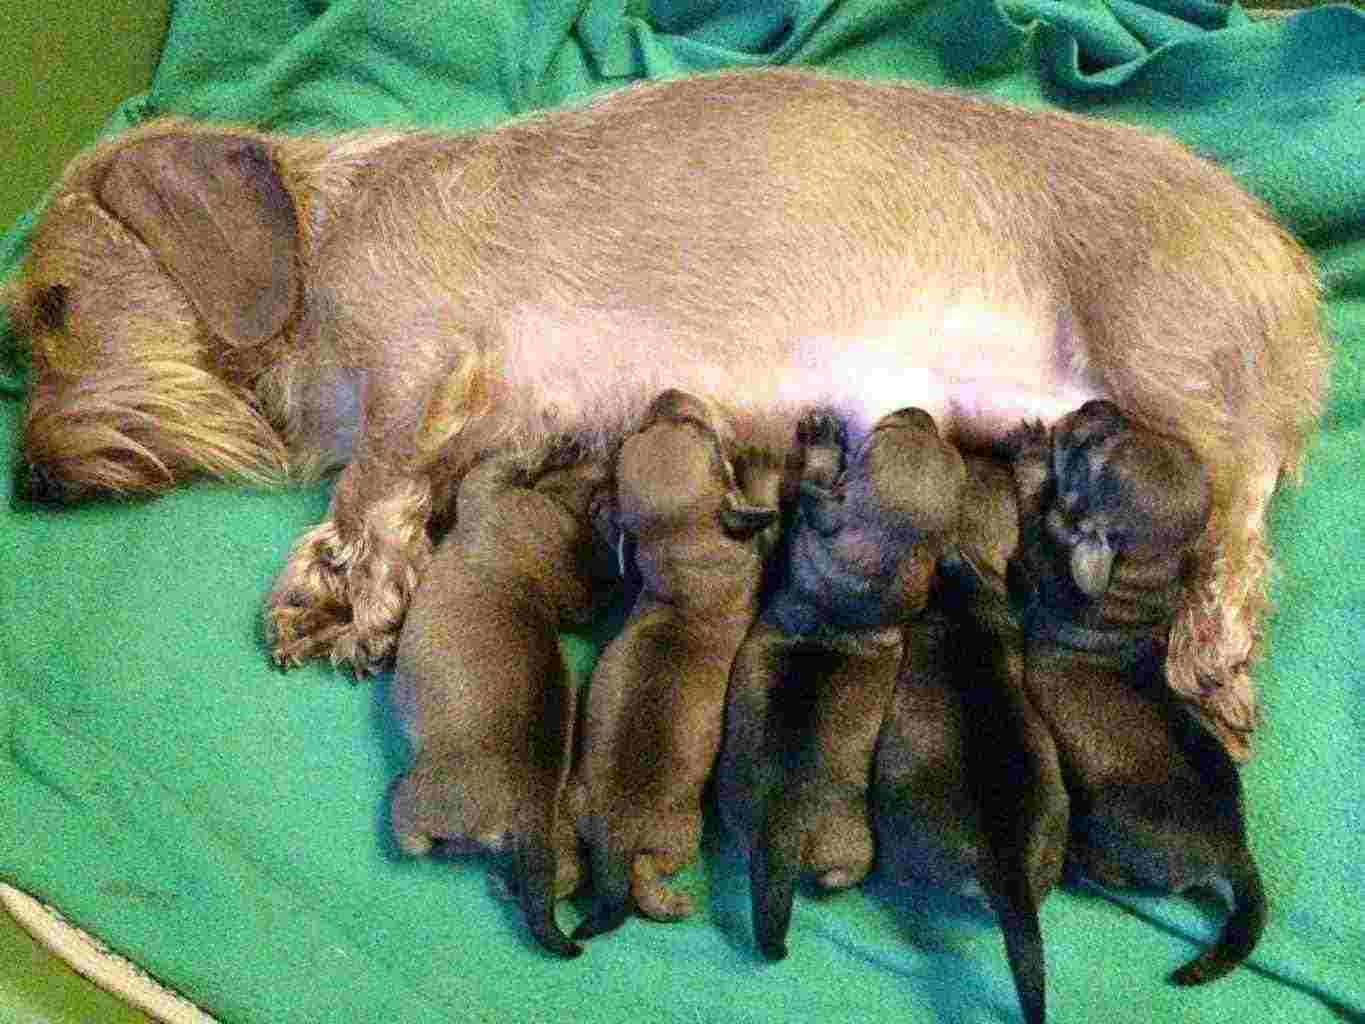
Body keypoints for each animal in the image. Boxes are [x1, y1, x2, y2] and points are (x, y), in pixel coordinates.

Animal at [8, 68, 1332, 759]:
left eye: (53, 303)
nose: (31, 482)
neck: (323, 230)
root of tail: (1289, 271)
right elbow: (395, 500)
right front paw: (343, 590)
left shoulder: (421, 366)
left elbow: (369, 488)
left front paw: (345, 595)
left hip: (1167, 379)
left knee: (1239, 523)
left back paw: (1211, 655)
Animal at [1004, 401, 1266, 988]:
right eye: (1126, 424)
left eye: (1083, 453)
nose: (1092, 404)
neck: (1147, 567)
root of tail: (1233, 853)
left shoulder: (1045, 561)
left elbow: (1034, 517)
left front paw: (1029, 452)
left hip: (1111, 825)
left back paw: (1079, 863)